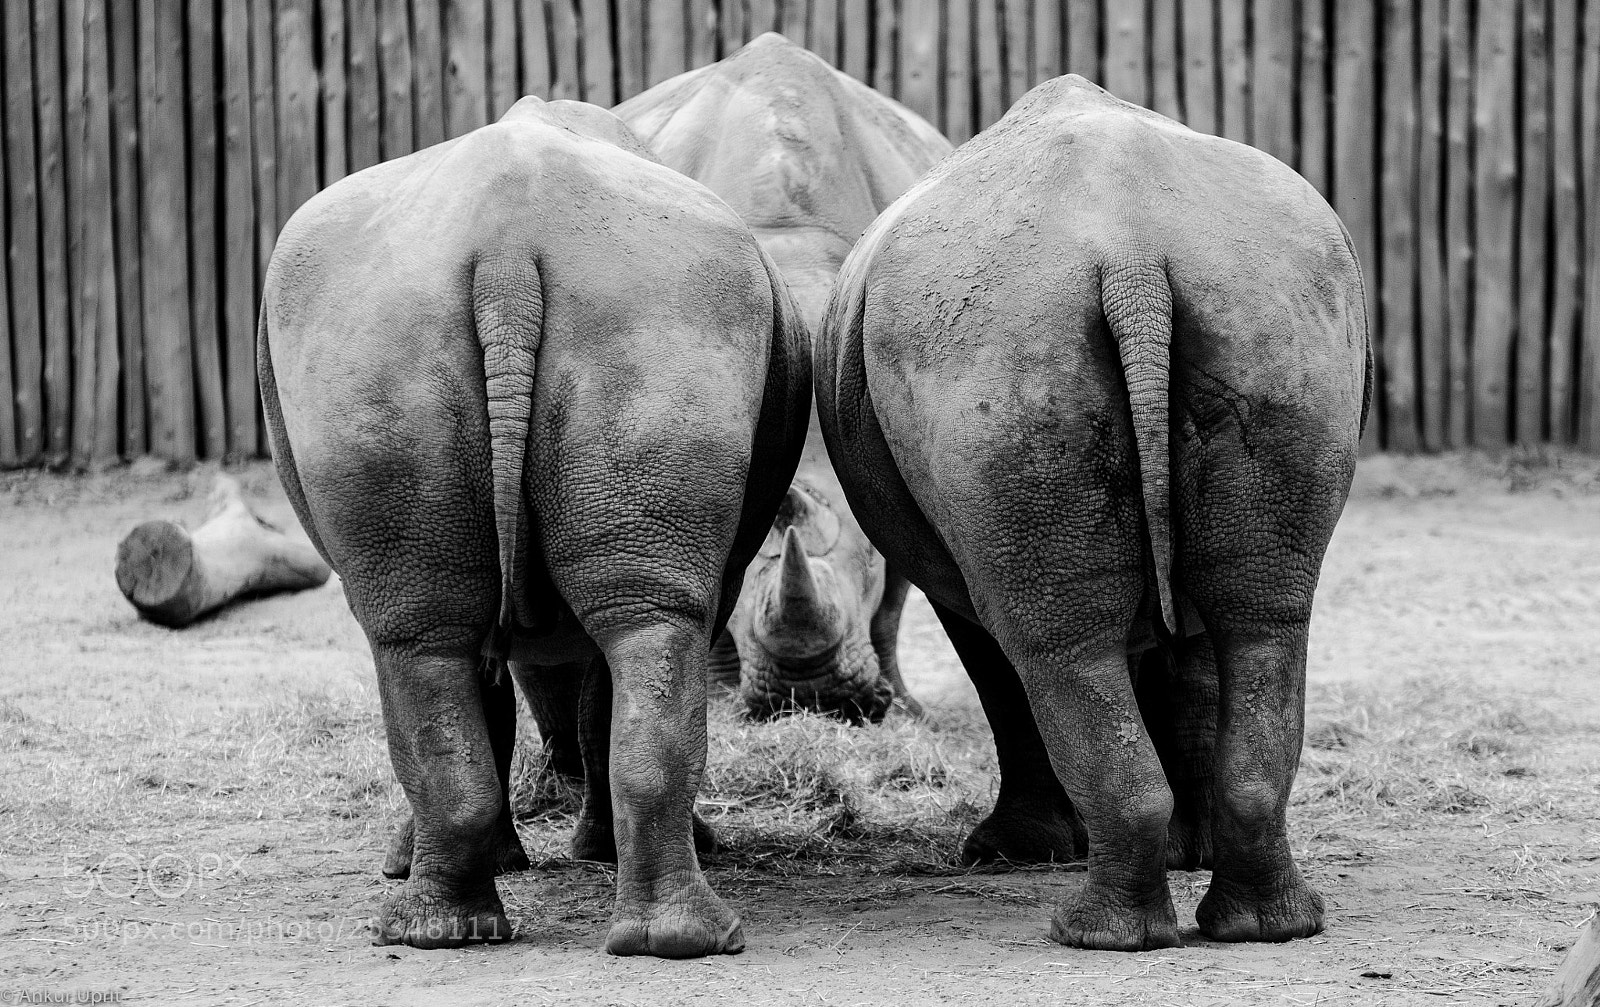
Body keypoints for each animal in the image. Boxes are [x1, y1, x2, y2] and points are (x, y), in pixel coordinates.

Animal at [816, 75, 1369, 950]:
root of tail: (1133, 252)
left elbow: (1006, 674)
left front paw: (1016, 852)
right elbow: (1186, 660)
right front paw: (1183, 846)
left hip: (995, 334)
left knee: (1054, 645)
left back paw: (1090, 931)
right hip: (1265, 302)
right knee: (1262, 616)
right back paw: (1260, 927)